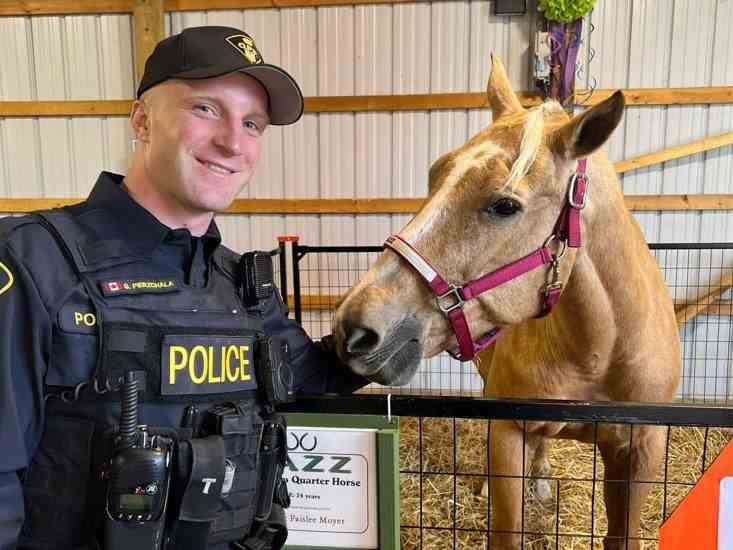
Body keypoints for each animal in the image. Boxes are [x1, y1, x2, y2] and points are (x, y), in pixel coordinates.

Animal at [334, 54, 676, 548]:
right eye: (435, 173)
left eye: (505, 206)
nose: (354, 328)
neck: (601, 349)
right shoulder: (509, 432)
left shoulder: (642, 452)